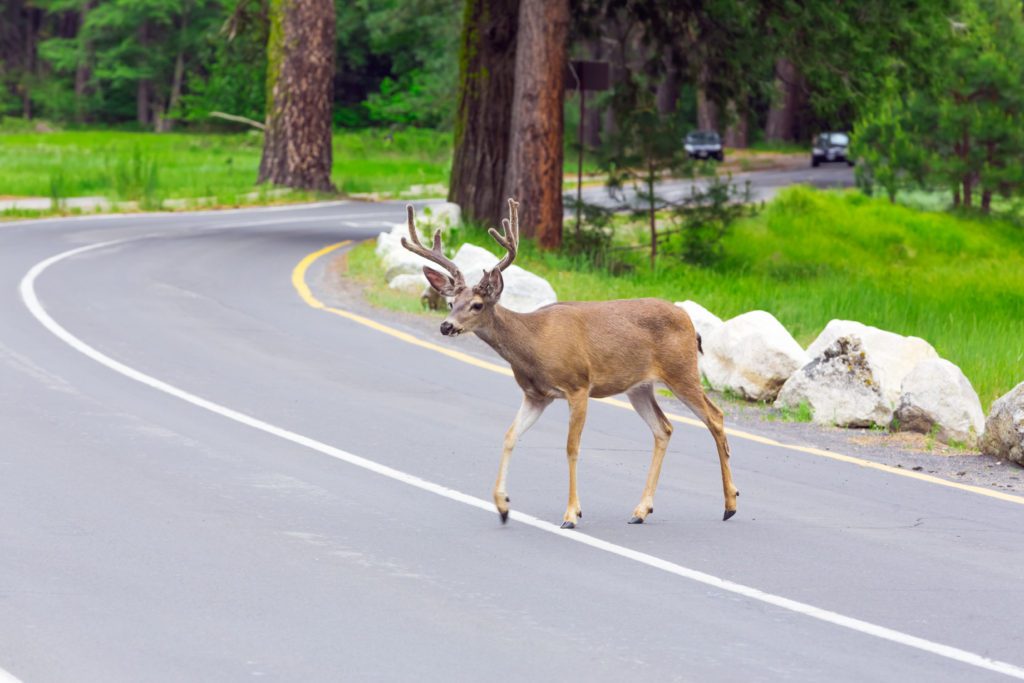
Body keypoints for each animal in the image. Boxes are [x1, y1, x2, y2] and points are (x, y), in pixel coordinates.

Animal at [401, 198, 738, 529]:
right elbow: (510, 436)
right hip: (639, 387)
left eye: (477, 305)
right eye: (450, 302)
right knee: (664, 428)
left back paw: (730, 504)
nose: (446, 326)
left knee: (715, 417)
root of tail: (689, 322)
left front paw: (571, 514)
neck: (534, 345)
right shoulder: (536, 395)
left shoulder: (578, 385)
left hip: (681, 370)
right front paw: (502, 506)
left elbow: (571, 447)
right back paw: (641, 510)